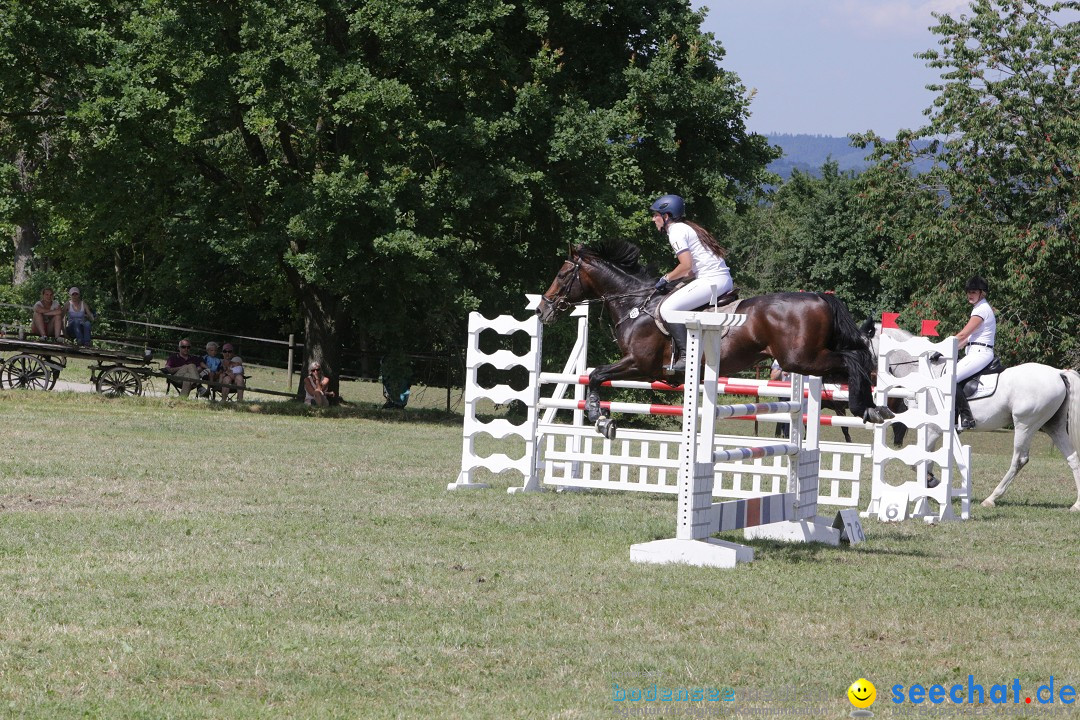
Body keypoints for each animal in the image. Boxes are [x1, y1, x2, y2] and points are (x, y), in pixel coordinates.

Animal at [533, 239, 894, 436]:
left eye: (562, 274)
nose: (542, 310)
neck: (635, 303)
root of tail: (819, 297)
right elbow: (596, 376)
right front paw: (600, 417)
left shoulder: (640, 364)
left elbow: (596, 375)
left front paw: (600, 419)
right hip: (808, 362)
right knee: (855, 362)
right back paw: (873, 408)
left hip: (801, 360)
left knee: (854, 359)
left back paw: (867, 408)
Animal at [868, 325, 1080, 511]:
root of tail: (1058, 372)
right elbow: (926, 459)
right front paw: (929, 488)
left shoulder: (934, 428)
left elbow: (917, 461)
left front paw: (931, 482)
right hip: (1053, 425)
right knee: (1072, 458)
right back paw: (1076, 506)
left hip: (1026, 423)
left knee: (1019, 459)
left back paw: (991, 499)